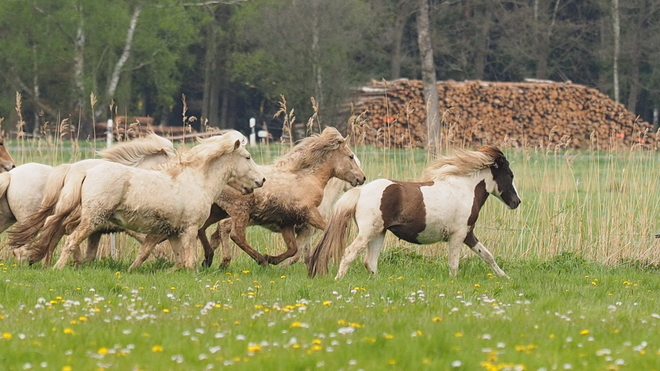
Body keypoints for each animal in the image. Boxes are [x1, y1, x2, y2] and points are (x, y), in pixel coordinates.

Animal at [201, 126, 366, 268]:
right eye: (351, 157)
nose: (362, 178)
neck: (308, 177)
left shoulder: (287, 222)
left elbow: (294, 249)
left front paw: (273, 259)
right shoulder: (308, 216)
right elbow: (323, 232)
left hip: (216, 211)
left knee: (207, 229)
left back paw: (210, 260)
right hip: (240, 212)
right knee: (235, 235)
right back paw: (257, 261)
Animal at [310, 145, 520, 280]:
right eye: (510, 175)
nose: (516, 202)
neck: (465, 189)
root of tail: (361, 191)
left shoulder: (468, 234)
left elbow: (487, 255)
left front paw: (505, 277)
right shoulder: (458, 235)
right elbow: (454, 264)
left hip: (378, 233)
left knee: (370, 262)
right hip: (368, 232)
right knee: (350, 253)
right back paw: (339, 280)